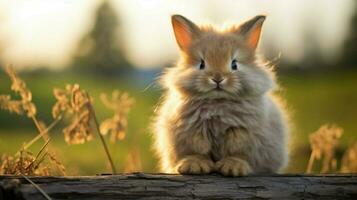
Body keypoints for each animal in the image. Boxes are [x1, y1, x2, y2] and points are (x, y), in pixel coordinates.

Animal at [152, 14, 288, 176]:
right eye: (201, 64)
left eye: (234, 64)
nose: (217, 78)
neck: (217, 102)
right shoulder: (193, 136)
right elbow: (197, 152)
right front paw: (194, 166)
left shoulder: (242, 135)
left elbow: (237, 153)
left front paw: (232, 168)